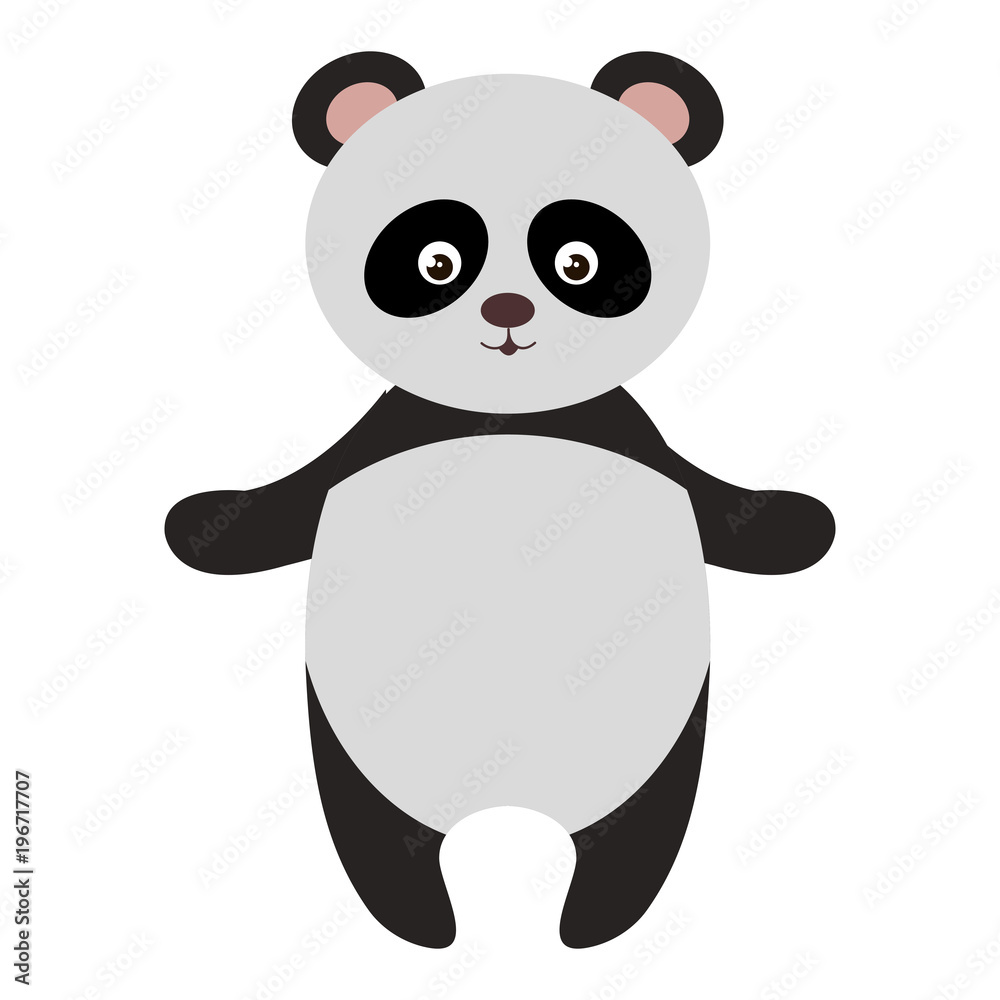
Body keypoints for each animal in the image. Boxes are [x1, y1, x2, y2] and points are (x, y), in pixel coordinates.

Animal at [165, 51, 835, 949]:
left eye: (579, 260)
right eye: (436, 261)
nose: (507, 309)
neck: (508, 416)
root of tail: (510, 812)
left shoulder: (636, 442)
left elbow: (725, 506)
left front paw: (802, 522)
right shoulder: (372, 444)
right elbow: (281, 505)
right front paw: (198, 522)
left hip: (650, 751)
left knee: (633, 837)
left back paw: (583, 924)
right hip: (361, 753)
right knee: (382, 837)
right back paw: (432, 924)